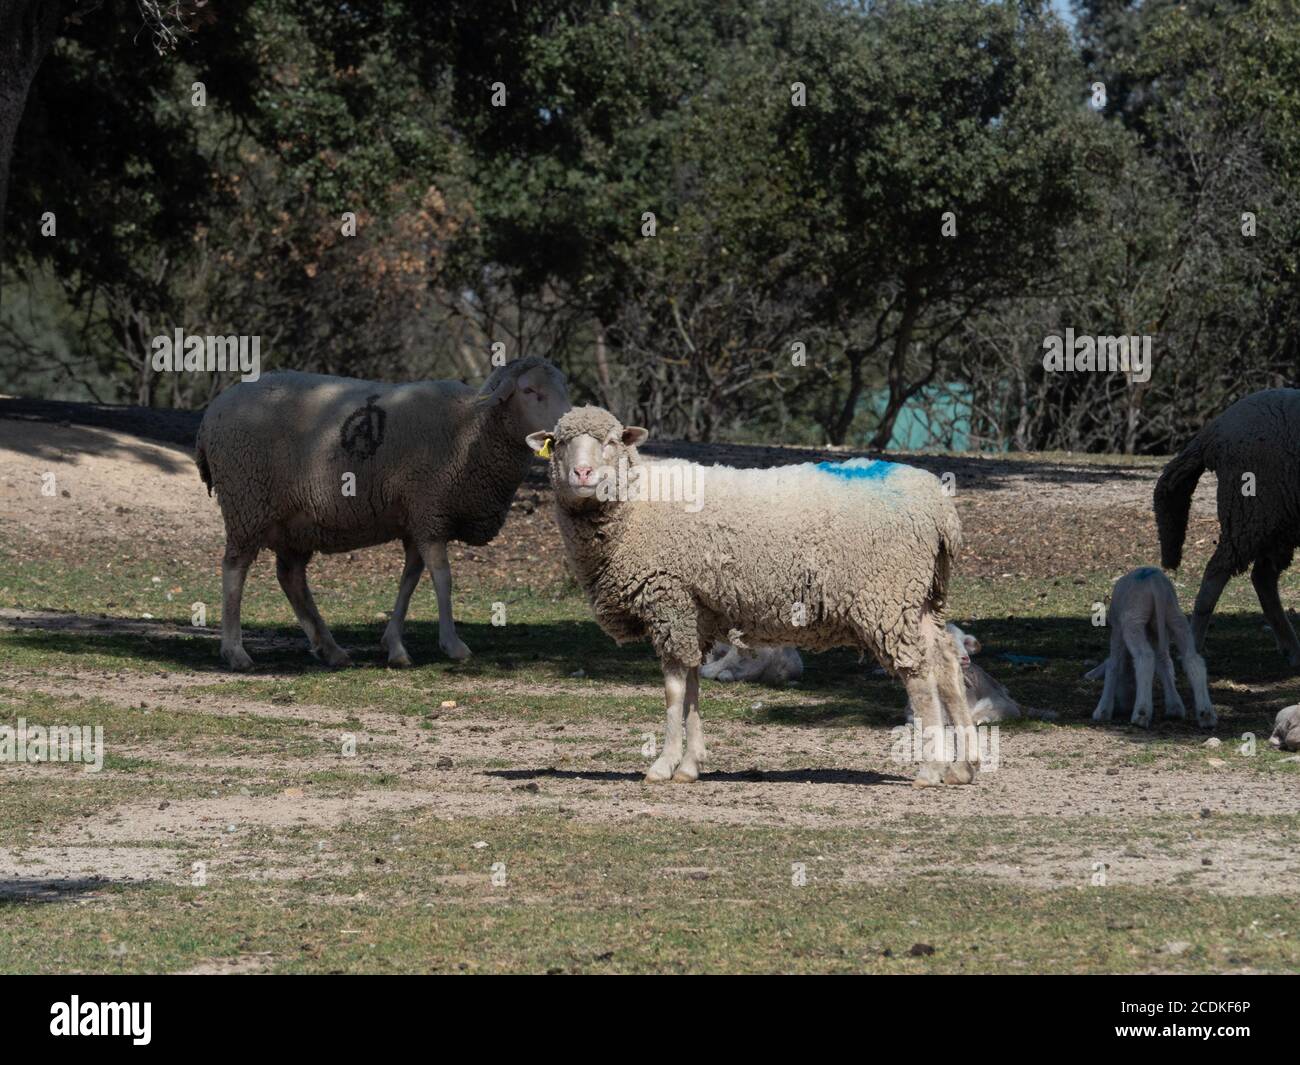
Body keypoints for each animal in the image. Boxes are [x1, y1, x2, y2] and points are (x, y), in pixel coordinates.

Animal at [195, 357, 569, 670]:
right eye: (529, 390)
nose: (564, 430)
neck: (470, 429)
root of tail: (211, 413)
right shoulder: (430, 511)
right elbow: (443, 578)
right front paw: (452, 645)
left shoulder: (417, 517)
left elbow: (410, 579)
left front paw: (395, 647)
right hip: (247, 501)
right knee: (234, 570)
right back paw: (236, 652)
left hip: (295, 524)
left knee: (291, 578)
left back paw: (331, 649)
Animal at [527, 405, 977, 787]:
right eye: (561, 442)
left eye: (611, 440)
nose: (582, 473)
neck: (636, 507)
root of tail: (939, 509)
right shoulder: (696, 611)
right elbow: (692, 686)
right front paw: (690, 765)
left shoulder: (669, 598)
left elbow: (674, 689)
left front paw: (663, 765)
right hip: (920, 597)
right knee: (945, 660)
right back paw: (964, 767)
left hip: (886, 594)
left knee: (919, 673)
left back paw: (931, 769)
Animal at [1086, 566, 1216, 728]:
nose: (1125, 706)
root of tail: (1155, 581)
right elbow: (1164, 665)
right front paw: (1175, 707)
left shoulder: (1117, 631)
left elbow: (1112, 665)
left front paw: (1102, 711)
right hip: (1175, 616)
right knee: (1192, 659)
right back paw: (1206, 715)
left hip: (1133, 619)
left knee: (1145, 657)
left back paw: (1141, 714)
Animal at [1155, 387, 1300, 667]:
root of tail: (1214, 430)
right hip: (1250, 511)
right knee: (1217, 571)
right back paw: (1193, 646)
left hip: (1277, 523)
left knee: (1262, 577)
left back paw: (1292, 648)